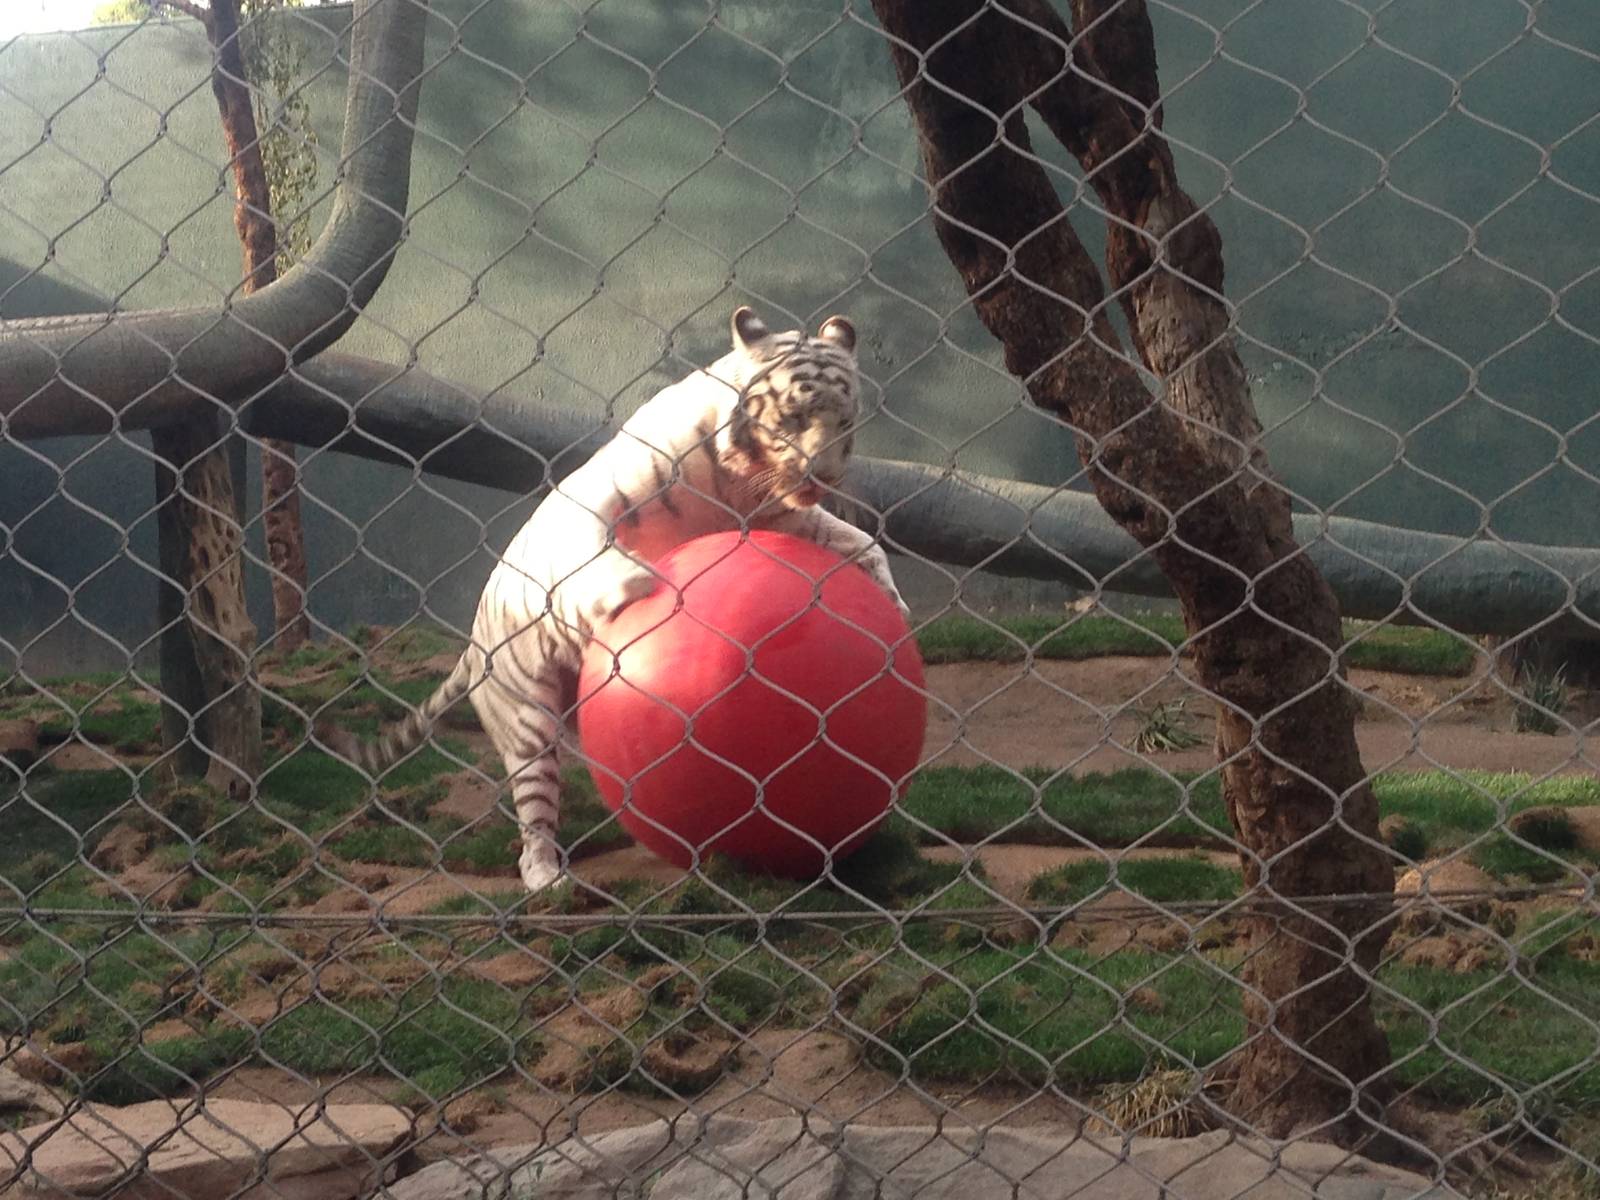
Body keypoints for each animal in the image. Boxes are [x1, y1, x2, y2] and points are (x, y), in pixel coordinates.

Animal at [318, 305, 908, 892]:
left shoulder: (785, 516)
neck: (736, 482)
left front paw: (892, 602)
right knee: (534, 813)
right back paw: (547, 878)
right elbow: (594, 552)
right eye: (794, 417)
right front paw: (639, 580)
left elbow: (861, 542)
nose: (824, 475)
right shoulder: (597, 501)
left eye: (844, 421)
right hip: (528, 722)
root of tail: (472, 645)